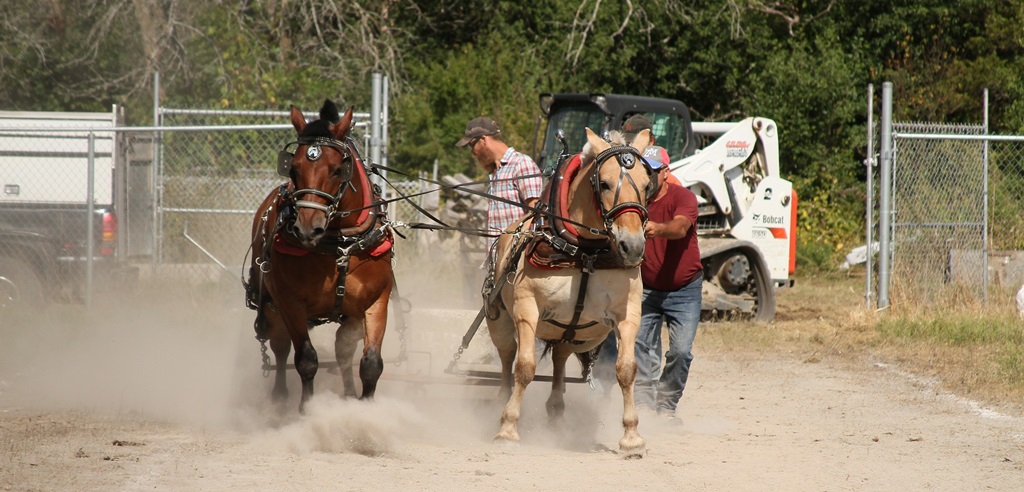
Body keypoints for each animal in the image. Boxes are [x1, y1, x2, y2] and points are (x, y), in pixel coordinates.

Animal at [245, 99, 394, 412]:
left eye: (338, 169)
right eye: (293, 169)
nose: (306, 228)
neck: (339, 243)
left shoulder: (376, 300)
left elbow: (370, 364)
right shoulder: (290, 302)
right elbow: (305, 359)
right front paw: (308, 410)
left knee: (342, 349)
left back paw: (347, 395)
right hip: (272, 304)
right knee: (280, 347)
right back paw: (279, 399)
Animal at [484, 127, 657, 457]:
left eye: (647, 185)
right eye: (604, 183)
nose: (633, 246)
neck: (585, 252)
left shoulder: (627, 313)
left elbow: (626, 369)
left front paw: (631, 436)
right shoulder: (527, 309)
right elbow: (524, 367)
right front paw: (508, 428)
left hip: (572, 334)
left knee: (560, 362)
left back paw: (556, 412)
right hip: (499, 322)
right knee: (507, 358)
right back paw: (499, 402)